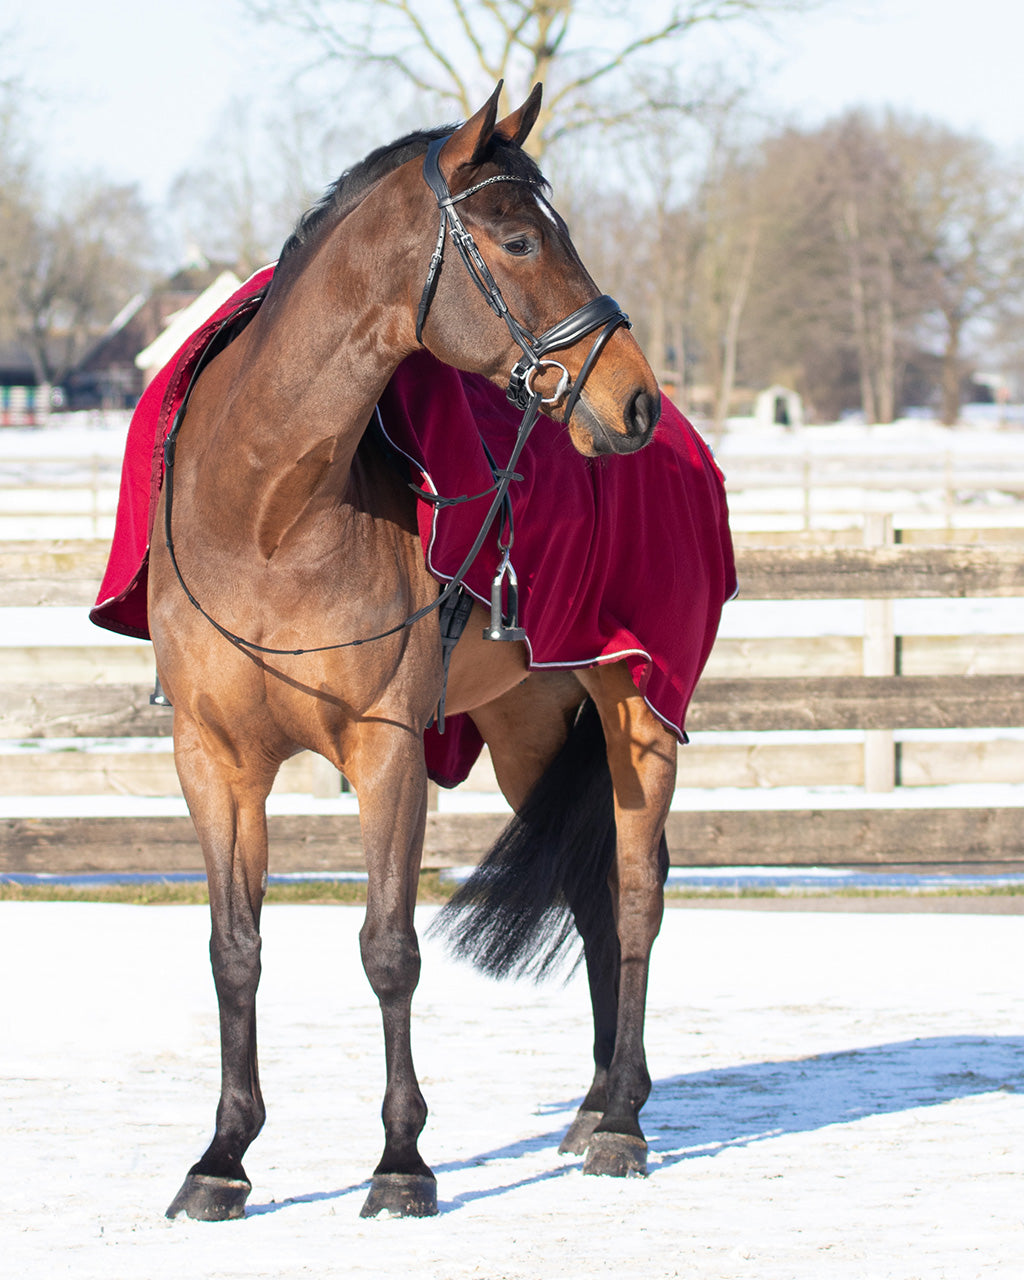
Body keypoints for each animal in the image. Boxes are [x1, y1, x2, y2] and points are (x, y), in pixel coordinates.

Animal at [148, 83, 724, 1222]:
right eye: (518, 238)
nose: (631, 400)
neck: (265, 512)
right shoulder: (214, 760)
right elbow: (234, 950)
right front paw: (222, 1156)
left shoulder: (387, 750)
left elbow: (388, 948)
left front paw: (402, 1160)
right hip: (529, 726)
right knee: (594, 897)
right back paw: (595, 1103)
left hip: (637, 715)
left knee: (638, 893)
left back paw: (624, 1124)